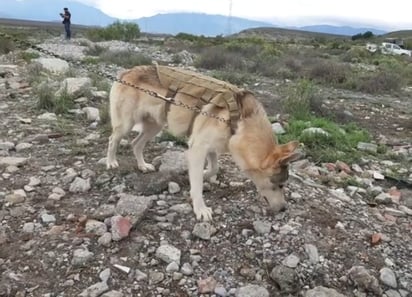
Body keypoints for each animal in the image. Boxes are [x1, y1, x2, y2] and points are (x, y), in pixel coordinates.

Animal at [106, 66, 300, 221]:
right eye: (280, 185)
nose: (284, 208)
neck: (238, 123)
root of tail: (128, 71)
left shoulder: (212, 148)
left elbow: (213, 168)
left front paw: (205, 175)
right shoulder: (197, 149)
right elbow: (198, 185)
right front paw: (200, 208)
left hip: (154, 126)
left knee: (136, 143)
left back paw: (143, 165)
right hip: (126, 124)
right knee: (113, 139)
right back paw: (111, 162)